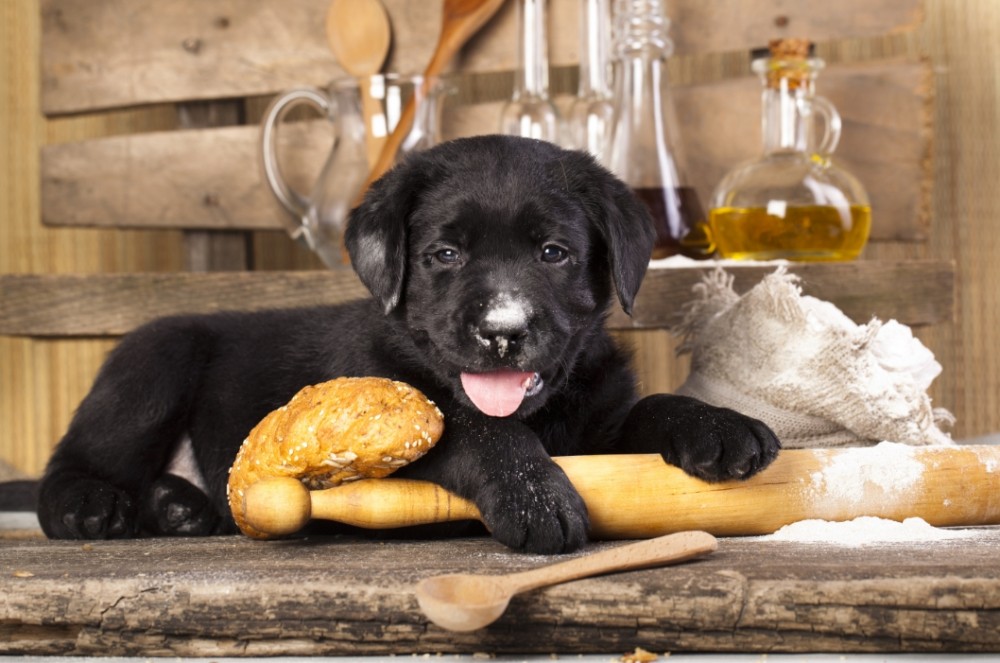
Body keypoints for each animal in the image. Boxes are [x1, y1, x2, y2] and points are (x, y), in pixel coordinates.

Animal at [35, 132, 780, 552]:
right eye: (444, 254)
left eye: (554, 252)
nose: (503, 330)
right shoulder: (395, 418)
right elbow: (475, 427)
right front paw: (535, 495)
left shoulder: (600, 423)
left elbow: (648, 407)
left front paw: (718, 424)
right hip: (155, 358)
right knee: (72, 462)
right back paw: (92, 506)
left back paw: (179, 507)